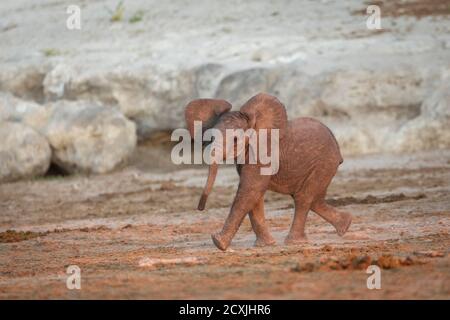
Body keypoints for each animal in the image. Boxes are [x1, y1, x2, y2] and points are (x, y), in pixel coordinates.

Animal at [185, 92, 354, 250]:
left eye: (235, 139)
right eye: (212, 137)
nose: (200, 208)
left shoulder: (263, 154)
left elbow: (251, 189)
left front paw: (219, 243)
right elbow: (255, 195)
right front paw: (266, 245)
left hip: (324, 162)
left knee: (304, 197)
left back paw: (294, 242)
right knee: (314, 198)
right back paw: (345, 225)